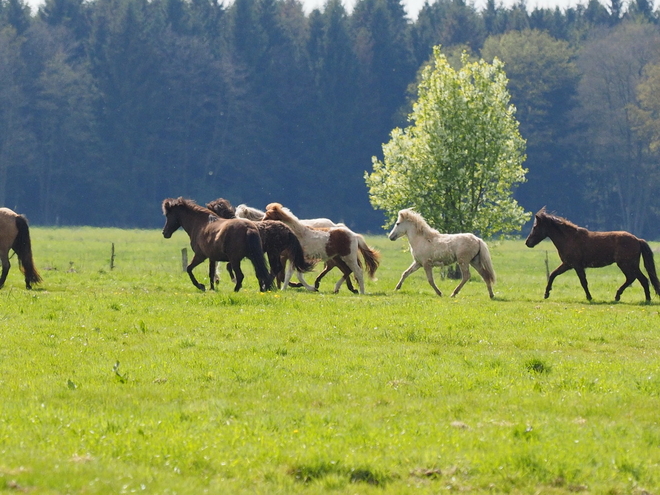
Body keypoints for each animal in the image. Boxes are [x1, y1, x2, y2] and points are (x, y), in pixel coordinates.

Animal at [524, 206, 660, 302]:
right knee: (641, 279)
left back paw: (622, 296)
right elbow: (552, 274)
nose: (527, 242)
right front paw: (546, 294)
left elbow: (583, 282)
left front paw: (589, 297)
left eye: (535, 227)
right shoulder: (567, 264)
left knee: (635, 278)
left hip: (626, 264)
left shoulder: (577, 266)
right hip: (631, 265)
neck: (569, 238)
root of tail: (637, 239)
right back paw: (643, 299)